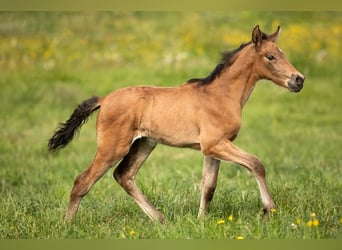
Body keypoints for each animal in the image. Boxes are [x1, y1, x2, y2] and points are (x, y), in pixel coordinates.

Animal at [48, 24, 304, 223]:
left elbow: (209, 185)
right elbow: (256, 164)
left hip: (144, 143)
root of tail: (104, 99)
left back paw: (160, 220)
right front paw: (269, 210)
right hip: (112, 147)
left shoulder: (213, 148)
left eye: (283, 53)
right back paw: (68, 225)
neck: (220, 95)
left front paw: (201, 221)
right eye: (270, 56)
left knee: (124, 175)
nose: (298, 80)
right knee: (83, 181)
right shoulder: (215, 144)